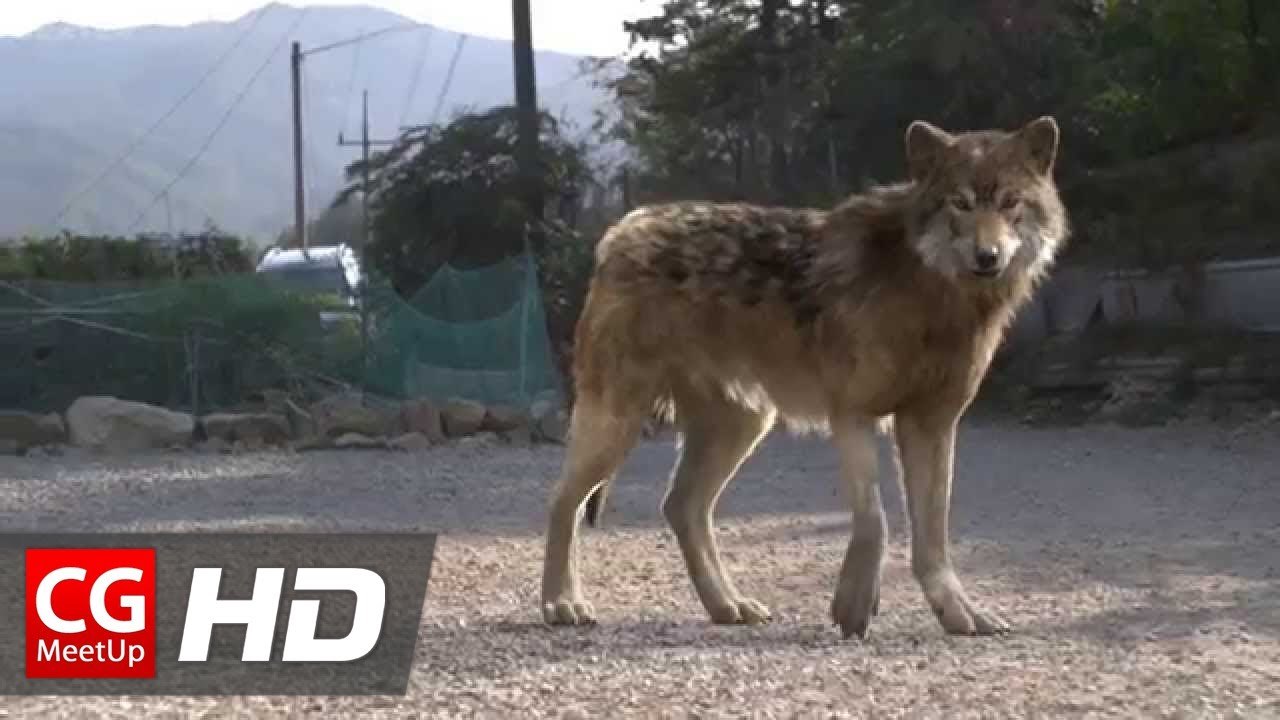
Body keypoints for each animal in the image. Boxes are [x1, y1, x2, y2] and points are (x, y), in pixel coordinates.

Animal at [539, 116, 1068, 639]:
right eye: (960, 203)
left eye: (1010, 203)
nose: (987, 256)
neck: (931, 294)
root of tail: (624, 228)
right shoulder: (852, 413)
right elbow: (875, 520)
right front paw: (853, 606)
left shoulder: (932, 425)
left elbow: (933, 535)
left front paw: (958, 614)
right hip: (621, 422)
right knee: (563, 500)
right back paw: (561, 603)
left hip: (743, 426)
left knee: (681, 506)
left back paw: (727, 605)